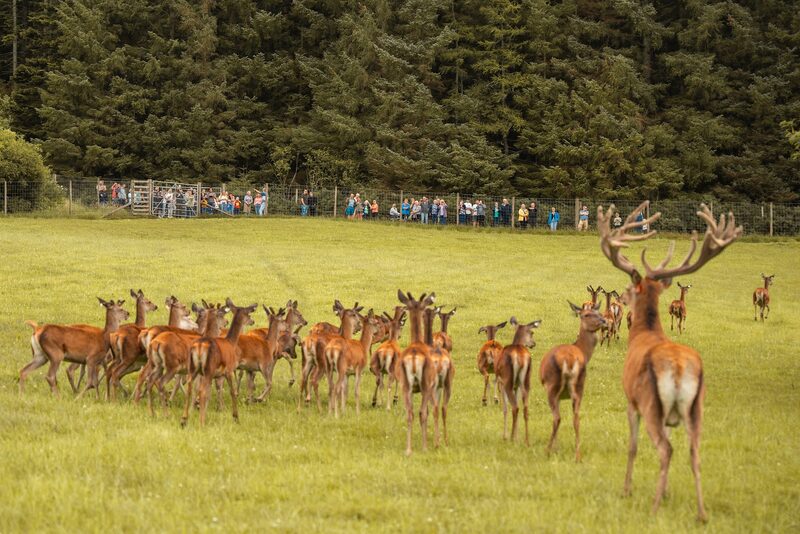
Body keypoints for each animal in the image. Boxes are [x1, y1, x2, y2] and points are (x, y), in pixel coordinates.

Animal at [181, 299, 257, 427]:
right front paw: (235, 417)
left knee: (190, 389)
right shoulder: (229, 370)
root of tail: (199, 346)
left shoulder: (218, 374)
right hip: (208, 370)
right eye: (249, 314)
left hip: (193, 369)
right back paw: (201, 422)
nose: (253, 321)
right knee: (202, 391)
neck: (231, 342)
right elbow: (232, 392)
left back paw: (184, 420)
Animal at [395, 290, 437, 456]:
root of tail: (413, 356)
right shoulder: (431, 386)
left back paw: (408, 449)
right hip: (425, 384)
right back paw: (424, 447)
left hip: (405, 385)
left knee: (409, 413)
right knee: (422, 413)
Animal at [496, 317, 541, 445]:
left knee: (515, 407)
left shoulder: (501, 382)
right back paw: (526, 440)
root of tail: (520, 357)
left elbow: (505, 409)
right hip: (526, 381)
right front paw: (516, 436)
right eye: (532, 332)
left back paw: (510, 438)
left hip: (508, 381)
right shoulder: (516, 386)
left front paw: (505, 436)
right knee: (525, 408)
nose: (533, 343)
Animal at [539, 302, 605, 461]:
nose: (604, 320)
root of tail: (569, 360)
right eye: (587, 314)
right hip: (579, 387)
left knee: (557, 418)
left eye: (599, 313)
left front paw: (555, 448)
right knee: (576, 419)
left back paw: (547, 451)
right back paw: (578, 455)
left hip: (552, 386)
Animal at [597, 200, 741, 522]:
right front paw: (666, 493)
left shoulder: (631, 401)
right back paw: (701, 513)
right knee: (694, 453)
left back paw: (652, 509)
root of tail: (677, 367)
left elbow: (633, 447)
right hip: (696, 407)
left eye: (630, 289)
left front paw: (627, 490)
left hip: (651, 403)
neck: (646, 333)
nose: (623, 297)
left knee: (666, 450)